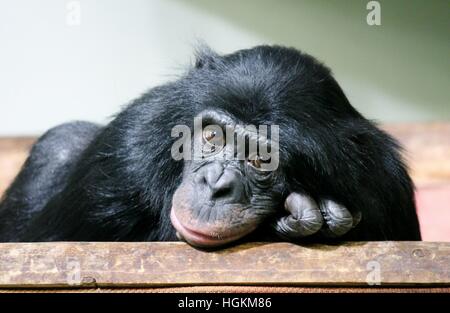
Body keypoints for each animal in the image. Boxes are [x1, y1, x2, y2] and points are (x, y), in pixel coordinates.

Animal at [0, 45, 420, 245]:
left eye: (262, 159)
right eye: (212, 136)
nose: (216, 184)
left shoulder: (386, 187)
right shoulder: (123, 157)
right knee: (62, 142)